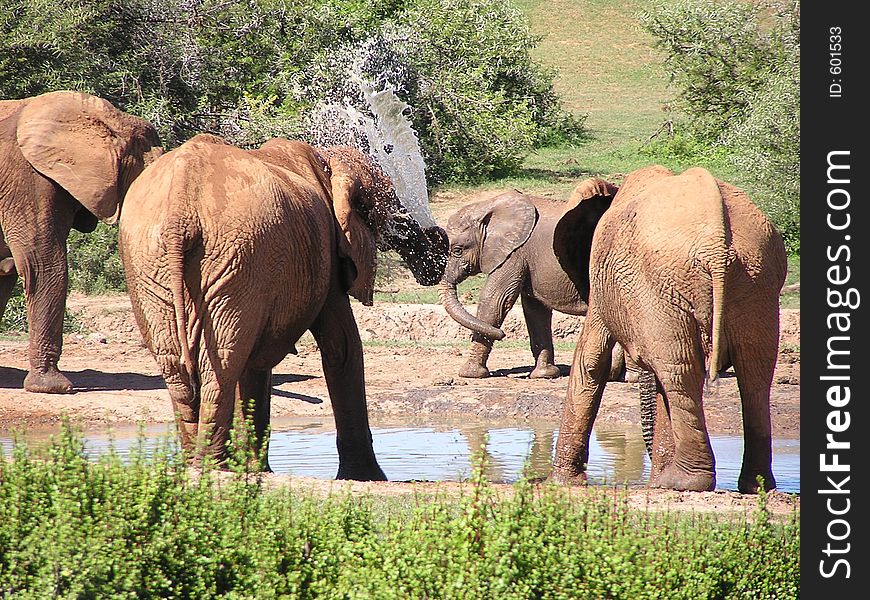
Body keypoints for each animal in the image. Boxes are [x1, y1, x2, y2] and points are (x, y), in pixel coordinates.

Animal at [119, 134, 450, 480]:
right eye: (390, 207)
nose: (438, 244)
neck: (327, 162)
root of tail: (180, 206)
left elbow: (256, 365)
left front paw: (258, 470)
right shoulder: (326, 250)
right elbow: (342, 346)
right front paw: (367, 478)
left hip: (155, 262)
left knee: (180, 366)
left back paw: (198, 467)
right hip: (233, 258)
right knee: (222, 363)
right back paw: (215, 468)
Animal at [440, 185, 636, 380]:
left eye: (457, 250)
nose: (503, 335)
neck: (490, 205)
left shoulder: (514, 254)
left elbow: (496, 301)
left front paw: (470, 374)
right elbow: (535, 310)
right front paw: (545, 375)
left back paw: (627, 376)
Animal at [552, 166, 792, 494]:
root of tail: (716, 245)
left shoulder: (607, 284)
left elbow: (591, 362)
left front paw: (562, 482)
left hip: (671, 284)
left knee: (680, 371)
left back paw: (684, 481)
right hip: (756, 281)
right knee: (753, 374)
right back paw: (754, 486)